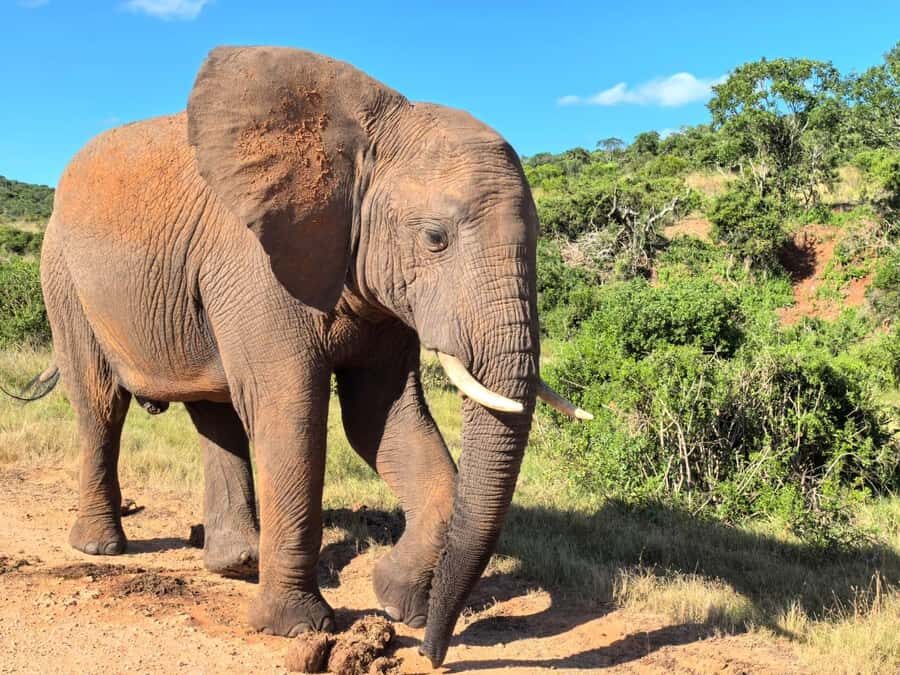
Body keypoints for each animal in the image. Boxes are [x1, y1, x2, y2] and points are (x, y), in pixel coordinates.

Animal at [33, 46, 590, 667]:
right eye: (435, 239)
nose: (432, 652)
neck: (364, 139)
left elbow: (379, 420)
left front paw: (396, 600)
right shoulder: (255, 265)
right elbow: (292, 414)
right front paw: (297, 627)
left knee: (214, 412)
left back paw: (238, 563)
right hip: (64, 278)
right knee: (101, 405)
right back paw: (102, 547)